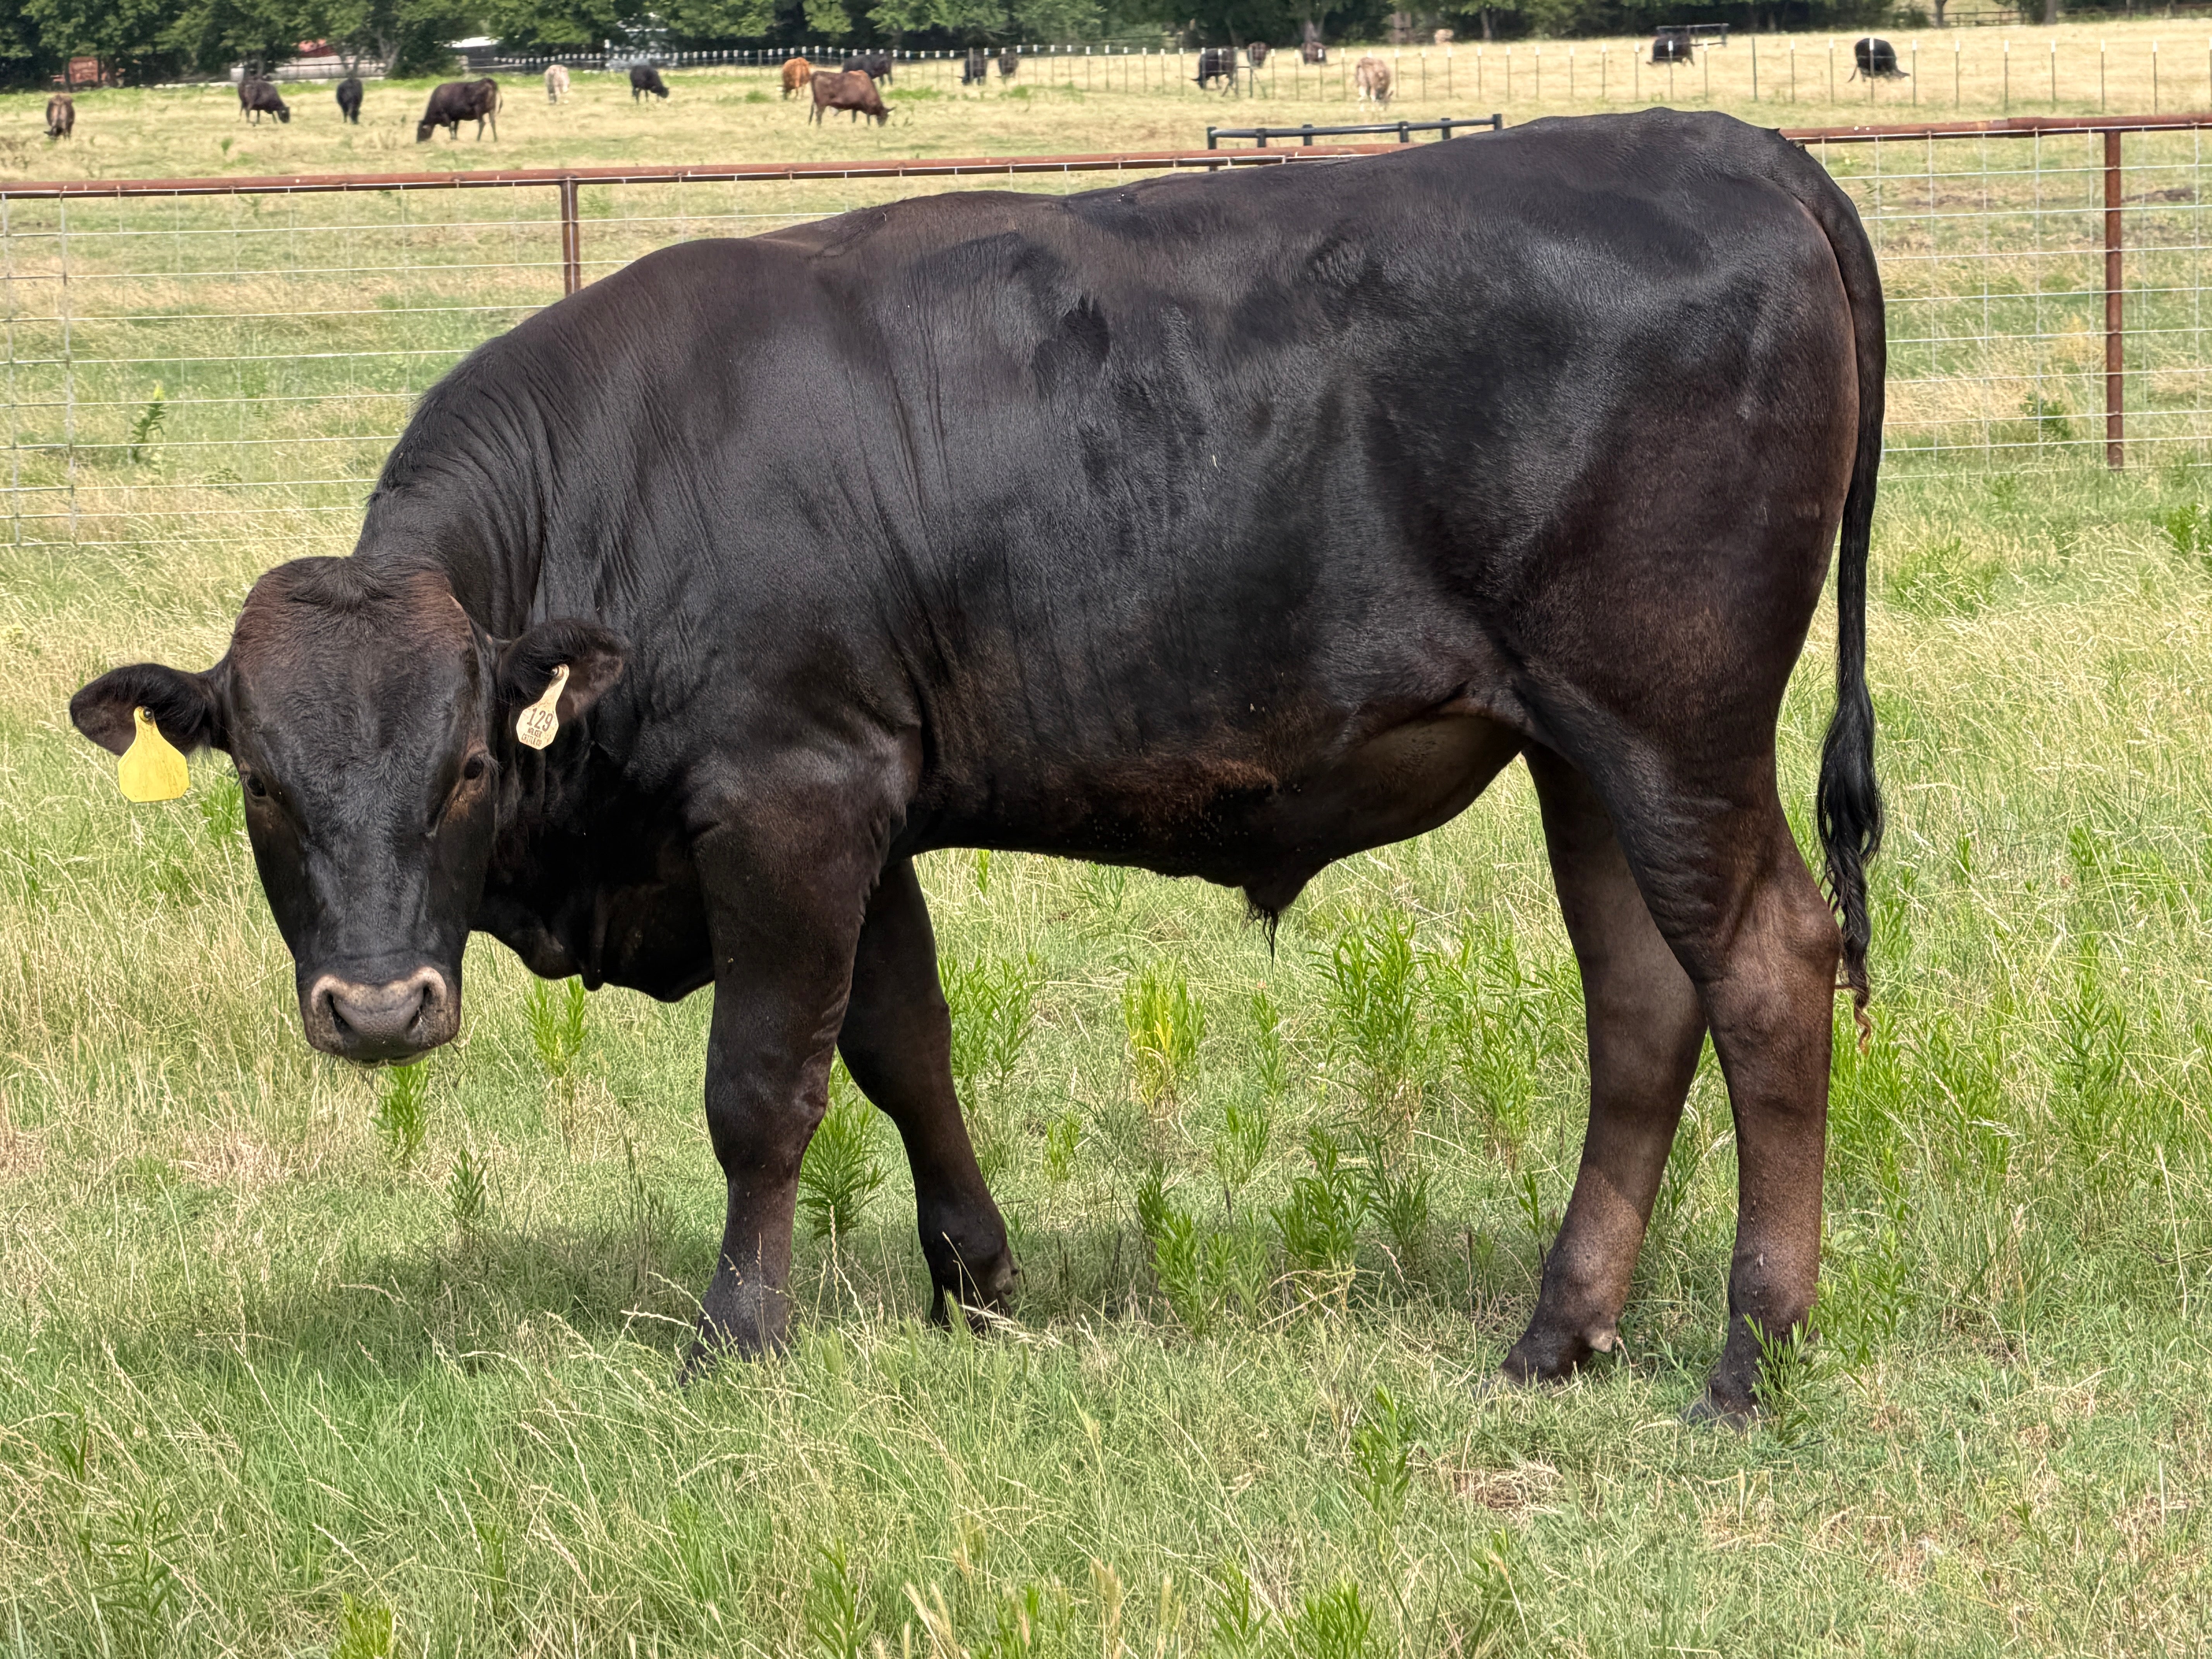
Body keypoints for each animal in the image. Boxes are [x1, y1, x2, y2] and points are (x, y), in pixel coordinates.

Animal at [70, 112, 1885, 1426]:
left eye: (460, 766)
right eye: (262, 785)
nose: (378, 1008)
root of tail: (1724, 142)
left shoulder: (787, 790)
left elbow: (764, 1084)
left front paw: (738, 1337)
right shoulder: (864, 805)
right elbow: (901, 1046)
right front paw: (975, 1285)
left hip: (1668, 725)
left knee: (1764, 968)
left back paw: (1751, 1353)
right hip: (1579, 747)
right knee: (1639, 1001)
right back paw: (1558, 1330)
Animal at [238, 77, 290, 124]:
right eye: (285, 113)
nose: (288, 122)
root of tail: (245, 83)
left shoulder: (259, 107)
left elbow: (259, 114)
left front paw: (258, 122)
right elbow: (272, 113)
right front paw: (275, 121)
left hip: (243, 102)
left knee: (242, 110)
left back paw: (240, 120)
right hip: (251, 103)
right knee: (248, 110)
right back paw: (249, 121)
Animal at [416, 78, 500, 142]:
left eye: (421, 130)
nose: (418, 141)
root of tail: (487, 81)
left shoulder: (445, 115)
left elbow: (450, 128)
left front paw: (452, 139)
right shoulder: (457, 118)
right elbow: (455, 128)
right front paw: (456, 138)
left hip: (479, 110)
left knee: (482, 123)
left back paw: (478, 139)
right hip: (491, 110)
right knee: (493, 122)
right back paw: (495, 139)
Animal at [809, 68, 889, 125]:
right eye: (884, 116)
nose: (882, 126)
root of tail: (817, 73)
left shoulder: (855, 107)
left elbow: (854, 118)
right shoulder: (867, 109)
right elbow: (868, 120)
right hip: (821, 105)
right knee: (819, 115)